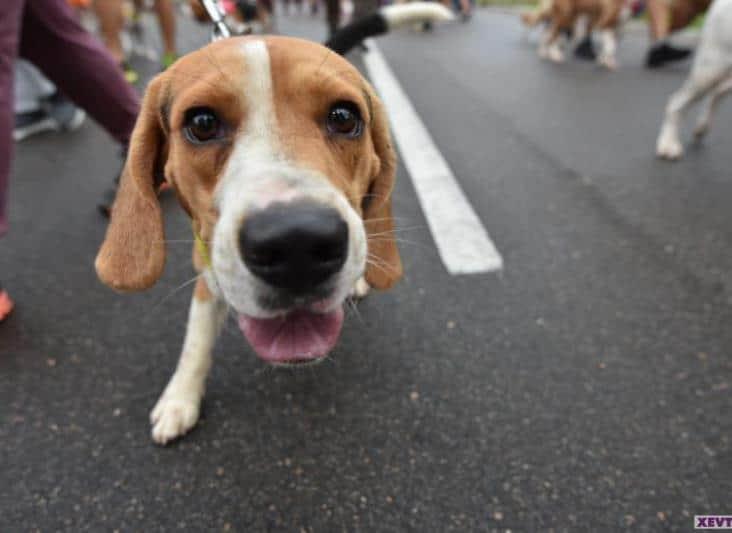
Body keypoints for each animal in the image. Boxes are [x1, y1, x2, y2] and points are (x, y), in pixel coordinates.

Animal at [94, 27, 432, 442]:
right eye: (202, 123)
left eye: (343, 116)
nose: (297, 244)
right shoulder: (207, 269)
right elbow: (195, 340)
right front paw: (180, 398)